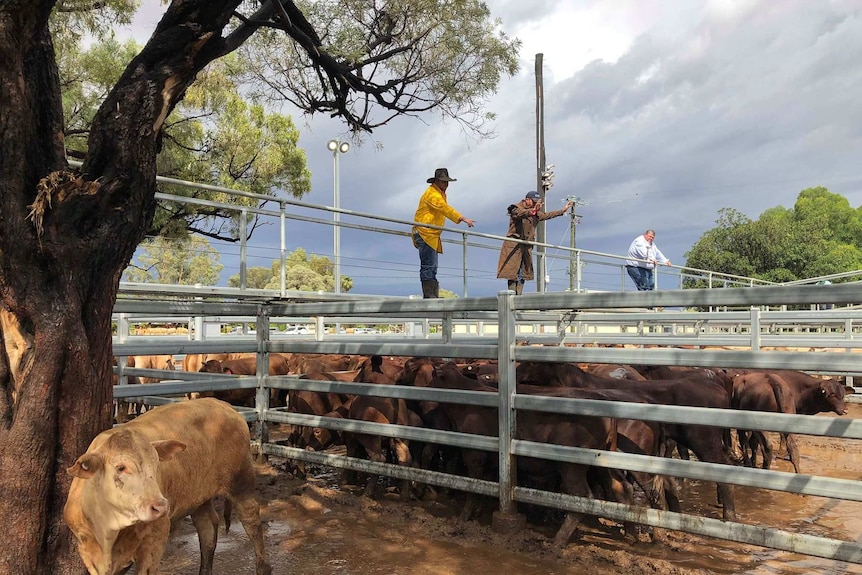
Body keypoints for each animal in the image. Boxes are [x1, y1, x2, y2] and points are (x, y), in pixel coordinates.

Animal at [63, 398, 270, 575]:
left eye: (156, 464)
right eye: (121, 467)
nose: (161, 506)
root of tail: (223, 405)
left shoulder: (156, 538)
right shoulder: (87, 549)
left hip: (241, 483)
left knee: (251, 522)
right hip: (199, 497)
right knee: (208, 529)